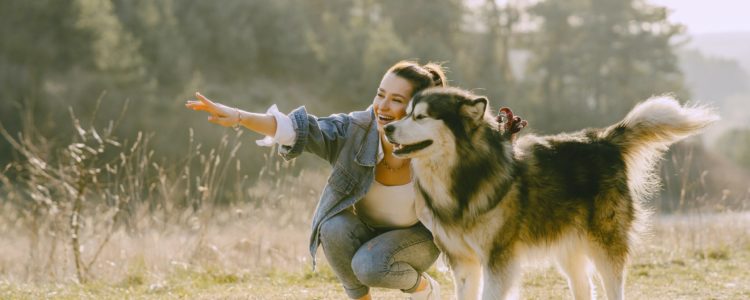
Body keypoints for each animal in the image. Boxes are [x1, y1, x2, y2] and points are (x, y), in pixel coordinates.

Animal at [384, 87, 720, 300]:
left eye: (420, 117)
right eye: (406, 113)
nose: (387, 129)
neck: (465, 175)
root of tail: (601, 139)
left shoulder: (498, 259)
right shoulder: (463, 262)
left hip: (605, 243)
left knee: (613, 288)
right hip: (567, 249)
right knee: (585, 288)